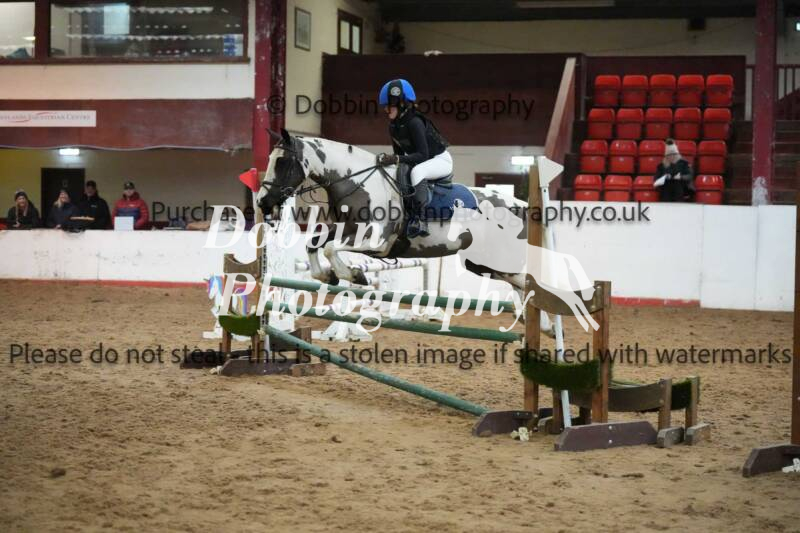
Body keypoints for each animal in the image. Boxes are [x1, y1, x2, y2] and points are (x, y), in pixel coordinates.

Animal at [256, 129, 556, 335]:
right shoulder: (344, 230)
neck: (357, 183)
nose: (262, 202)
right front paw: (328, 275)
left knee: (532, 286)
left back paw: (547, 326)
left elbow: (330, 249)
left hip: (501, 263)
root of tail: (524, 207)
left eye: (282, 162)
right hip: (485, 265)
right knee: (522, 288)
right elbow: (315, 244)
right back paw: (544, 327)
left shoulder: (374, 240)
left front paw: (354, 274)